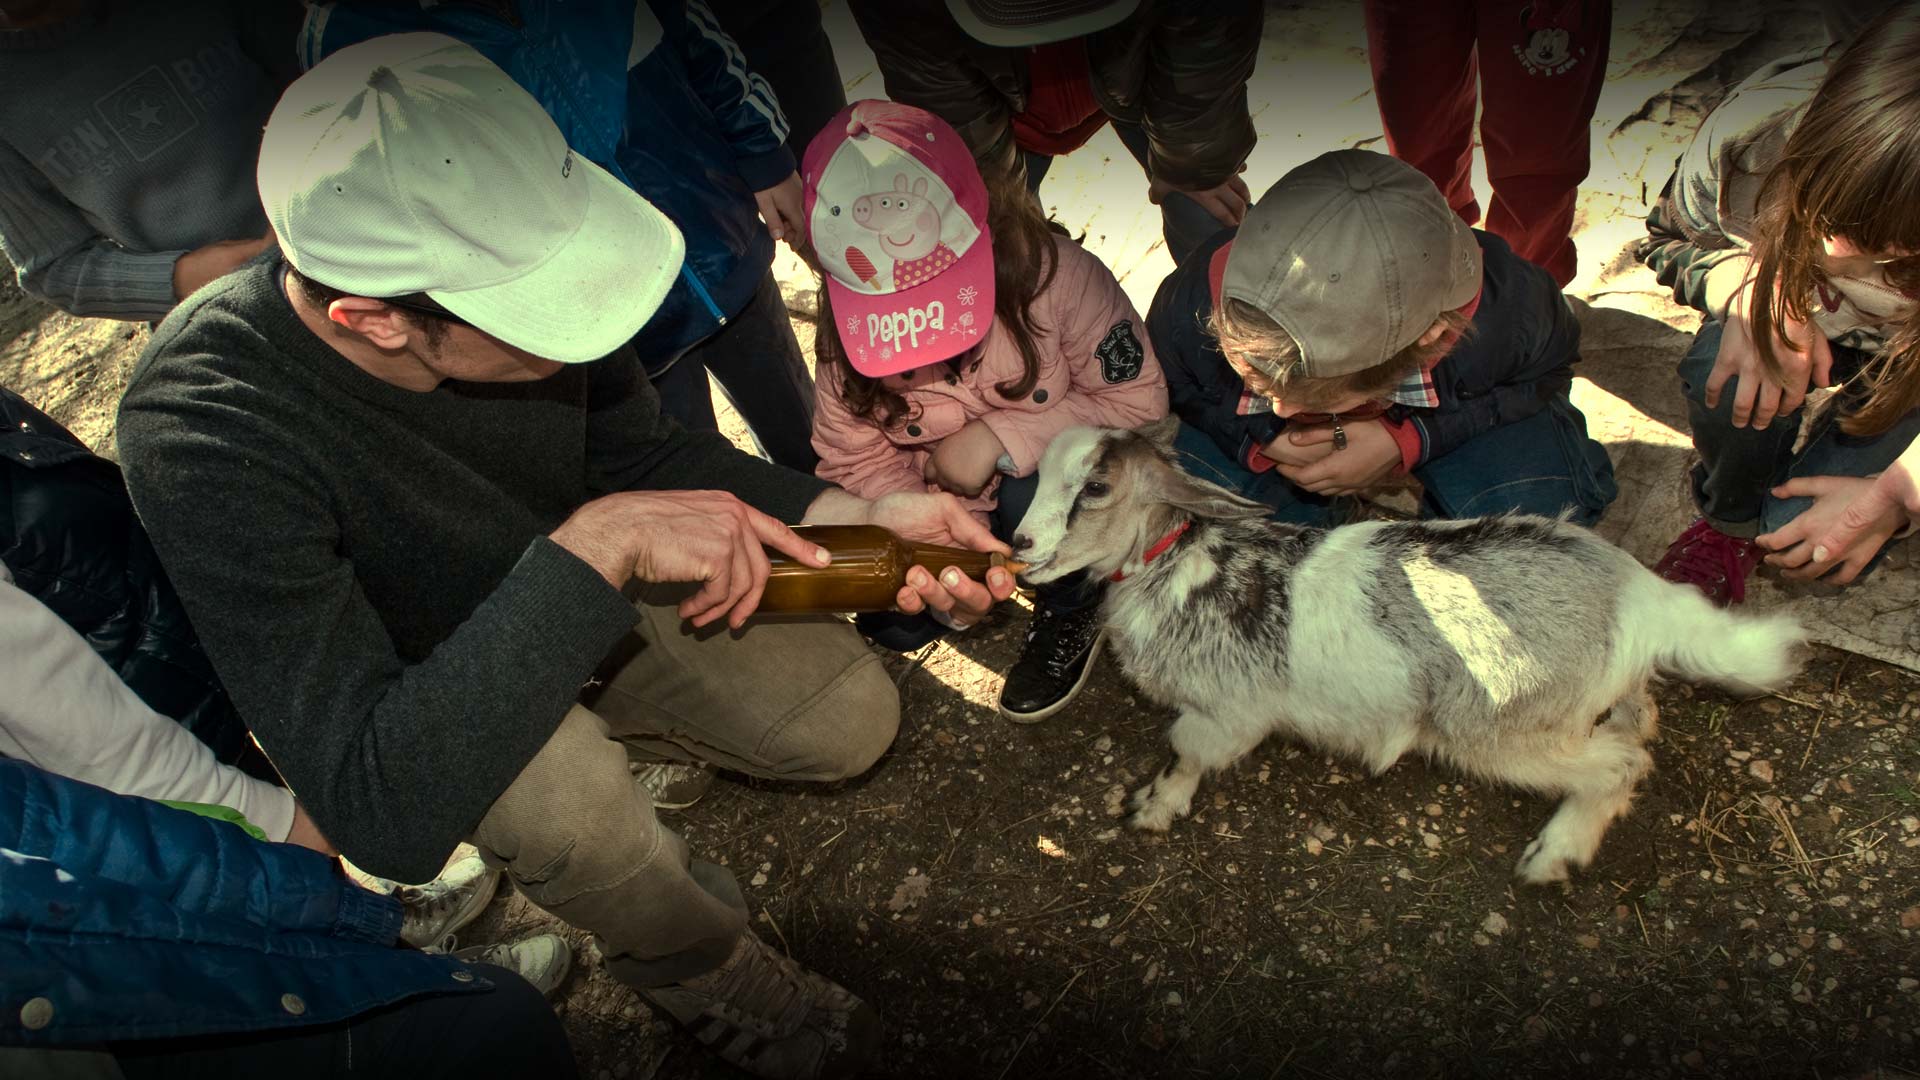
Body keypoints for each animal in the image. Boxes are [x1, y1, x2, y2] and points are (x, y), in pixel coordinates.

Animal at [1013, 417, 1804, 880]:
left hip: (1505, 730)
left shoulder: (1224, 715)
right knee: (1640, 722)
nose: (1018, 545)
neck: (1174, 563)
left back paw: (1552, 856)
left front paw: (1153, 808)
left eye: (1097, 485)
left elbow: (1184, 757)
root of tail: (1640, 596)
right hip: (1596, 697)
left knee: (1620, 765)